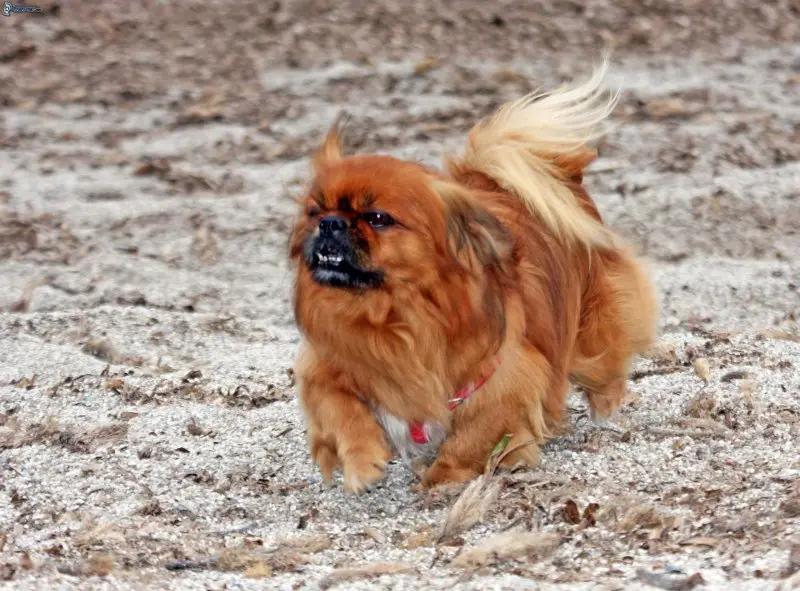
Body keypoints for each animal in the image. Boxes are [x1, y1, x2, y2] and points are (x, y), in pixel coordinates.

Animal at [288, 62, 656, 492]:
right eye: (315, 211)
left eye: (377, 218)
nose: (329, 223)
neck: (393, 315)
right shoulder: (328, 363)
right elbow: (338, 407)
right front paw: (362, 462)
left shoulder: (505, 375)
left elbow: (473, 434)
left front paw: (444, 479)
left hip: (590, 340)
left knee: (606, 370)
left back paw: (608, 410)